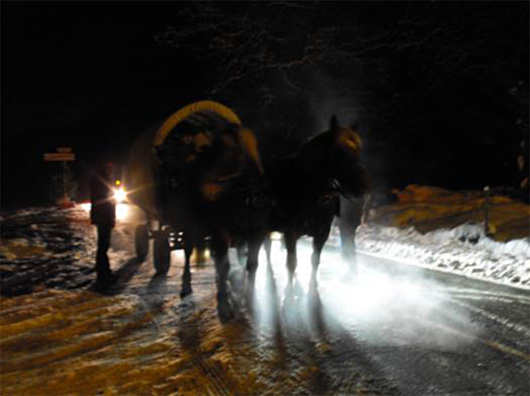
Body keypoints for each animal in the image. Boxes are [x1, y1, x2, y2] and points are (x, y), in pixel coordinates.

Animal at [255, 116, 370, 286]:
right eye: (339, 152)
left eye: (358, 151)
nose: (364, 186)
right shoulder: (291, 232)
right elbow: (291, 263)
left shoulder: (322, 233)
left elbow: (314, 260)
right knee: (266, 249)